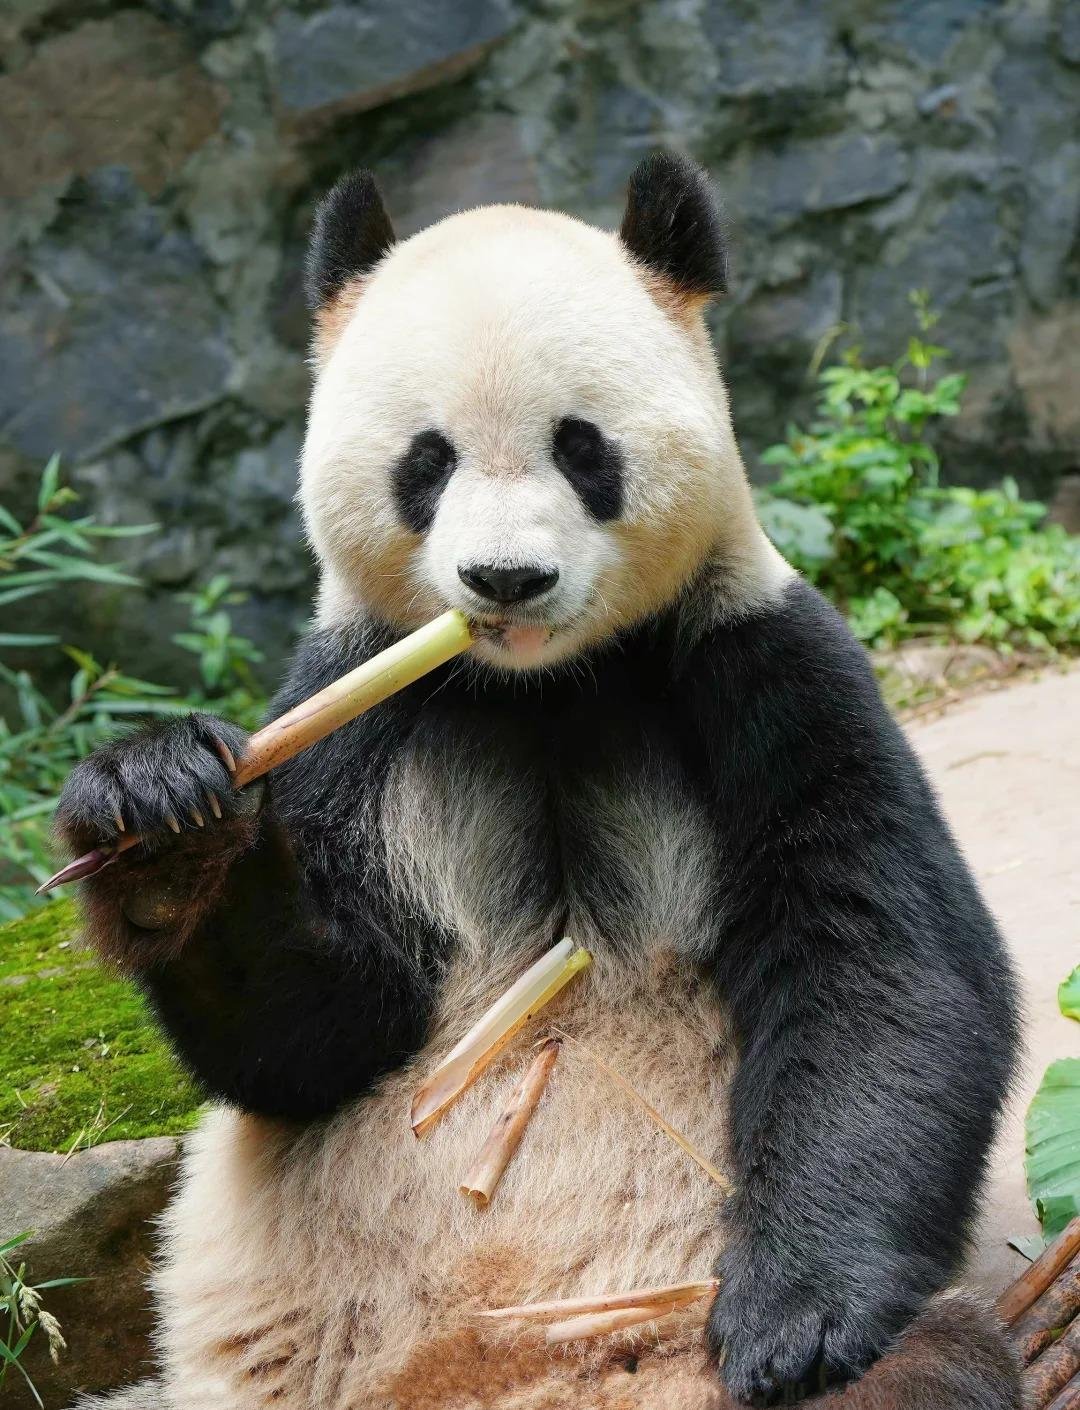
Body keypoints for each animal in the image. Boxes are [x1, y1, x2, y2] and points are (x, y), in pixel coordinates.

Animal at [61, 152, 1021, 1410]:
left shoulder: (753, 657)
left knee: (935, 1363)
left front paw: (794, 1313)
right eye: (425, 462)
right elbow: (315, 1034)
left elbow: (880, 961)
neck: (543, 686)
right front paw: (165, 827)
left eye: (583, 447)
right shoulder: (352, 706)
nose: (504, 579)